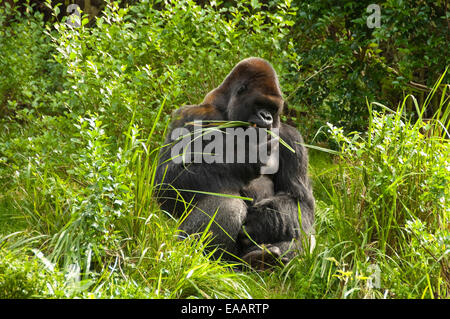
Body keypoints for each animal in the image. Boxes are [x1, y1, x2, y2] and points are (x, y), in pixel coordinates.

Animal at [156, 57, 314, 270]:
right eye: (259, 104)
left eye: (273, 109)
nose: (267, 117)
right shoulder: (191, 115)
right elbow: (166, 182)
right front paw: (244, 155)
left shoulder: (292, 139)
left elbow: (301, 202)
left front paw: (264, 221)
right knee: (228, 204)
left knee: (301, 227)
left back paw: (260, 259)